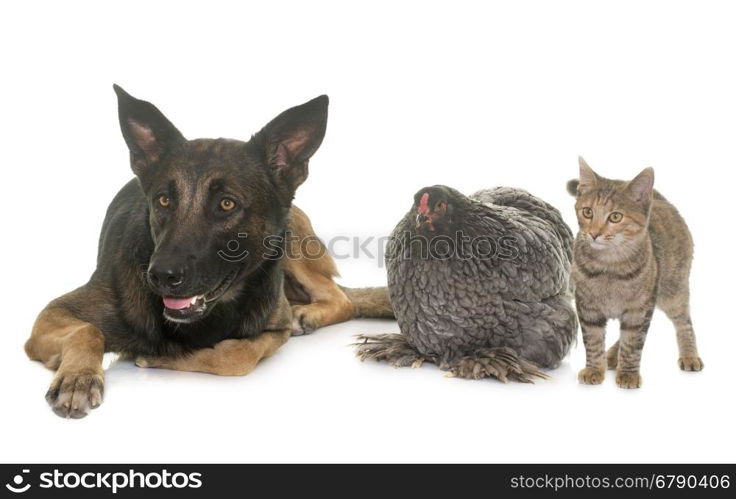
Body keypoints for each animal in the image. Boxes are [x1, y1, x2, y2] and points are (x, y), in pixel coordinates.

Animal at [24, 85, 392, 418]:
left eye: (227, 204)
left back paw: (309, 314)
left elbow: (237, 356)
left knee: (341, 299)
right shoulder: (51, 315)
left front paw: (162, 356)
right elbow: (88, 330)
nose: (160, 276)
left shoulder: (275, 330)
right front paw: (78, 377)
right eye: (163, 200)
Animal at [568, 158, 704, 388]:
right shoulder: (587, 307)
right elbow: (593, 340)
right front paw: (594, 368)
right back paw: (610, 356)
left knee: (684, 321)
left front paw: (628, 374)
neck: (609, 267)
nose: (594, 233)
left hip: (673, 291)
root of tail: (663, 201)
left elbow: (632, 343)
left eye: (615, 216)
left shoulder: (639, 309)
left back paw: (689, 355)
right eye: (587, 212)